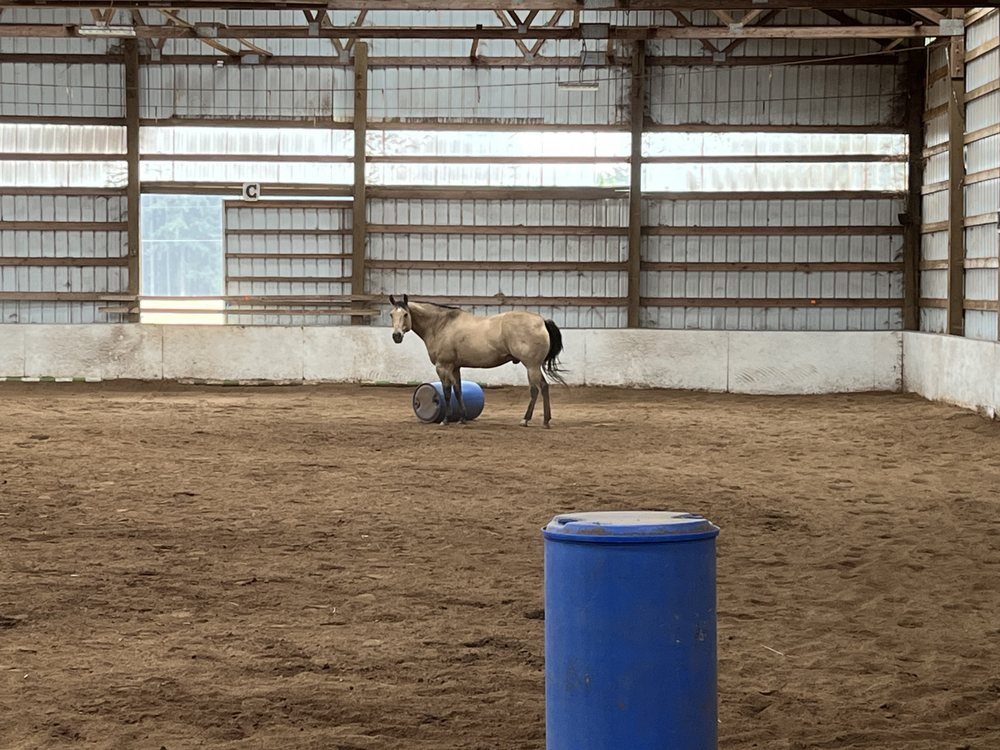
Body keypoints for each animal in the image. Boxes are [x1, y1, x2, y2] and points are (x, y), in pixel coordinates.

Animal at [388, 295, 566, 427]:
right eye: (391, 314)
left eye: (405, 314)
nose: (396, 336)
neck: (441, 325)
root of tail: (541, 321)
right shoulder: (455, 368)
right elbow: (458, 390)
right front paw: (462, 418)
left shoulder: (443, 367)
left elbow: (446, 392)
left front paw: (445, 419)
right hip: (534, 366)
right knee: (544, 387)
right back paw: (544, 420)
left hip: (531, 366)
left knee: (536, 389)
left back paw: (527, 420)